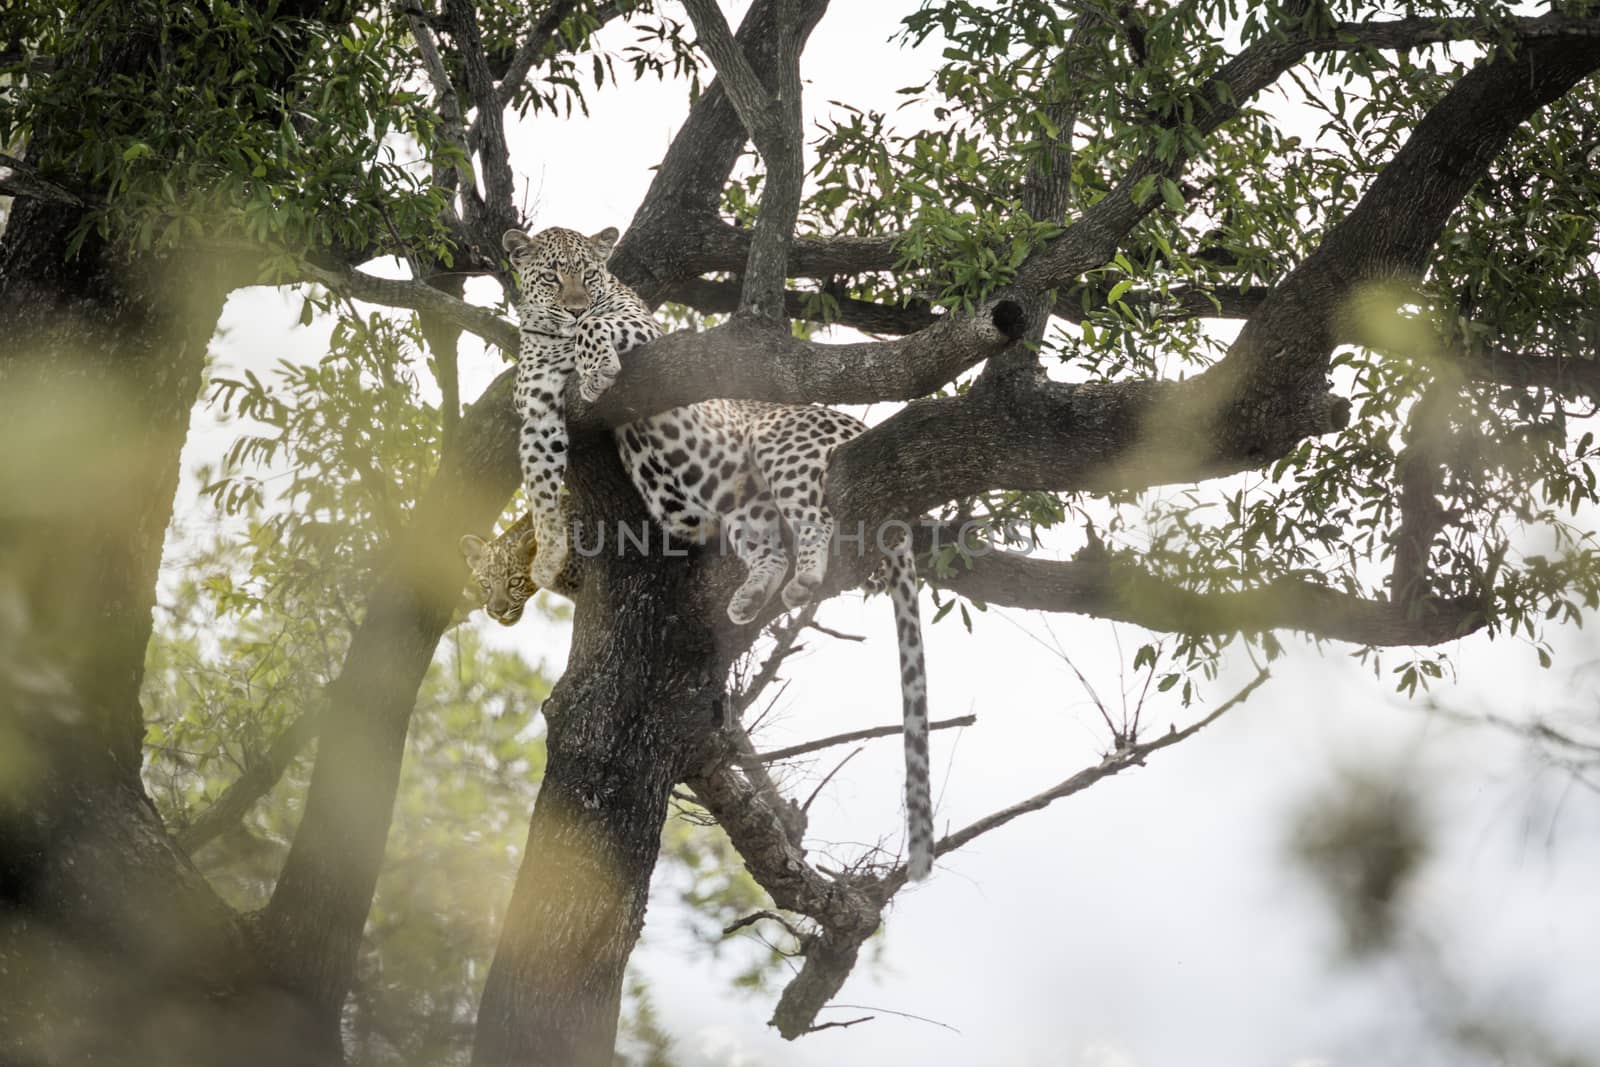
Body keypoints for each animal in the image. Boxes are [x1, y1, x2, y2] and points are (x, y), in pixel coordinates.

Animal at [467, 223, 934, 876]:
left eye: (590, 274)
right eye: (551, 275)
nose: (574, 304)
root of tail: (856, 426)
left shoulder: (643, 329)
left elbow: (600, 331)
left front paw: (593, 366)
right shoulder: (535, 414)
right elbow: (537, 483)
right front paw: (547, 552)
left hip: (781, 444)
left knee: (815, 518)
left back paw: (805, 577)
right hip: (741, 497)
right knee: (770, 546)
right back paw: (751, 597)